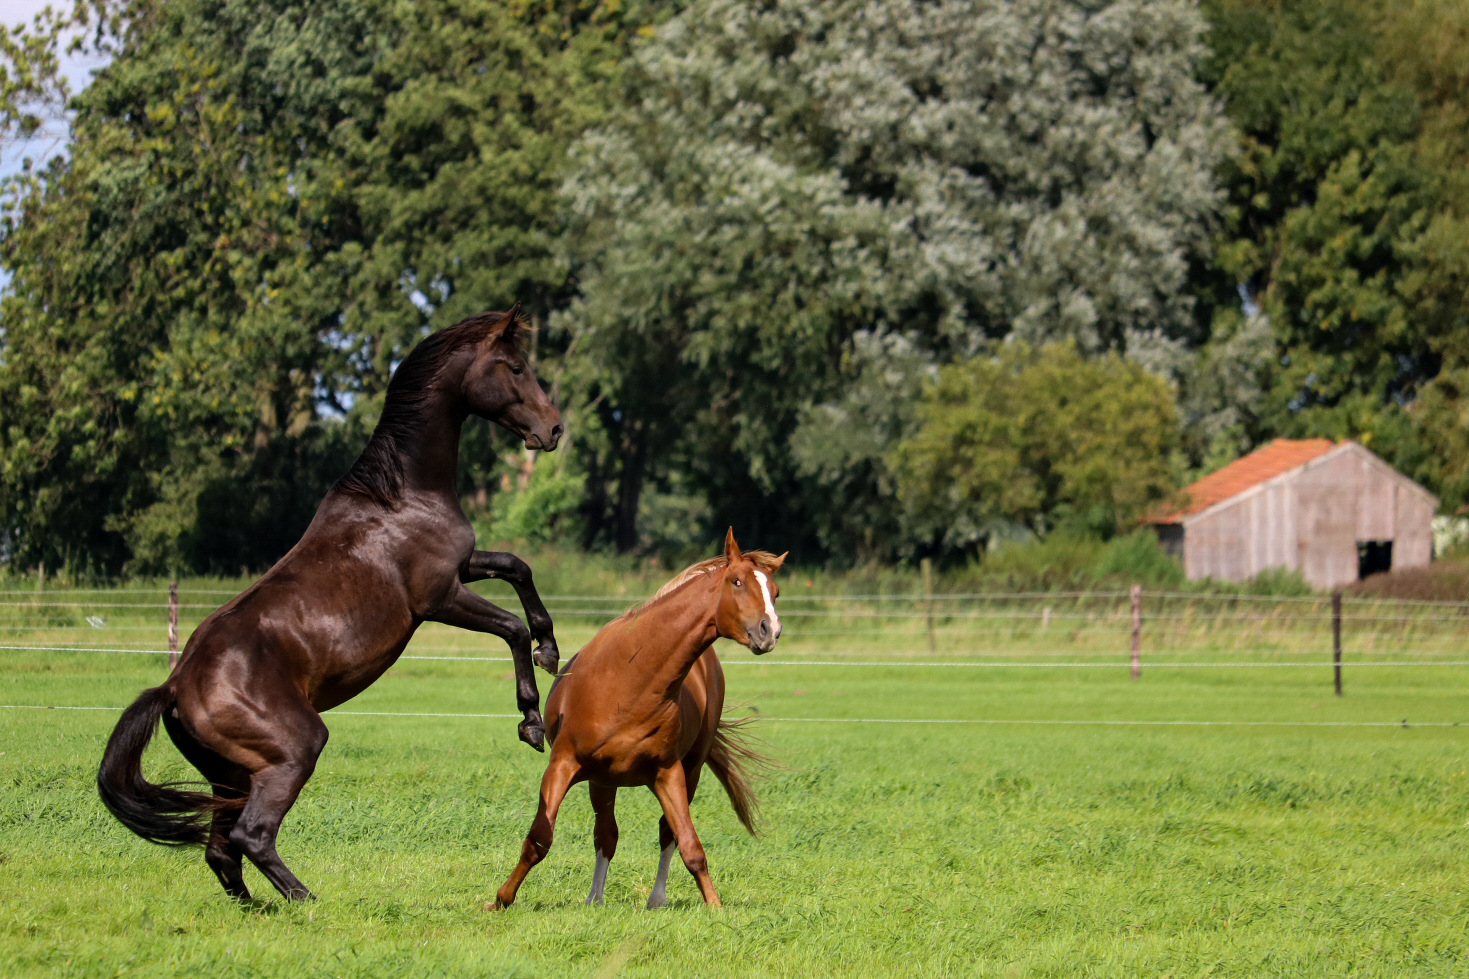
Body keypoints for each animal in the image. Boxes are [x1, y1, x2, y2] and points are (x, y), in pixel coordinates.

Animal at [97, 306, 565, 902]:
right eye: (516, 367)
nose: (553, 428)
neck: (399, 495)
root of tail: (174, 687)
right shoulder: (439, 597)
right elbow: (510, 627)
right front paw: (531, 719)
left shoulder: (463, 567)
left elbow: (517, 567)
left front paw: (551, 648)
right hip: (293, 751)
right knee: (251, 836)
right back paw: (307, 901)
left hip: (230, 776)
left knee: (221, 851)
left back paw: (261, 909)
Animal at [492, 529, 784, 911]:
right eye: (737, 582)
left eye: (775, 592)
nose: (770, 631)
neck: (629, 679)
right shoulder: (563, 764)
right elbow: (540, 838)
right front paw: (501, 899)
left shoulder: (668, 773)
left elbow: (691, 846)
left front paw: (715, 908)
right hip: (602, 780)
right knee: (606, 834)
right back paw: (594, 898)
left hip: (688, 770)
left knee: (662, 833)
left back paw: (655, 899)